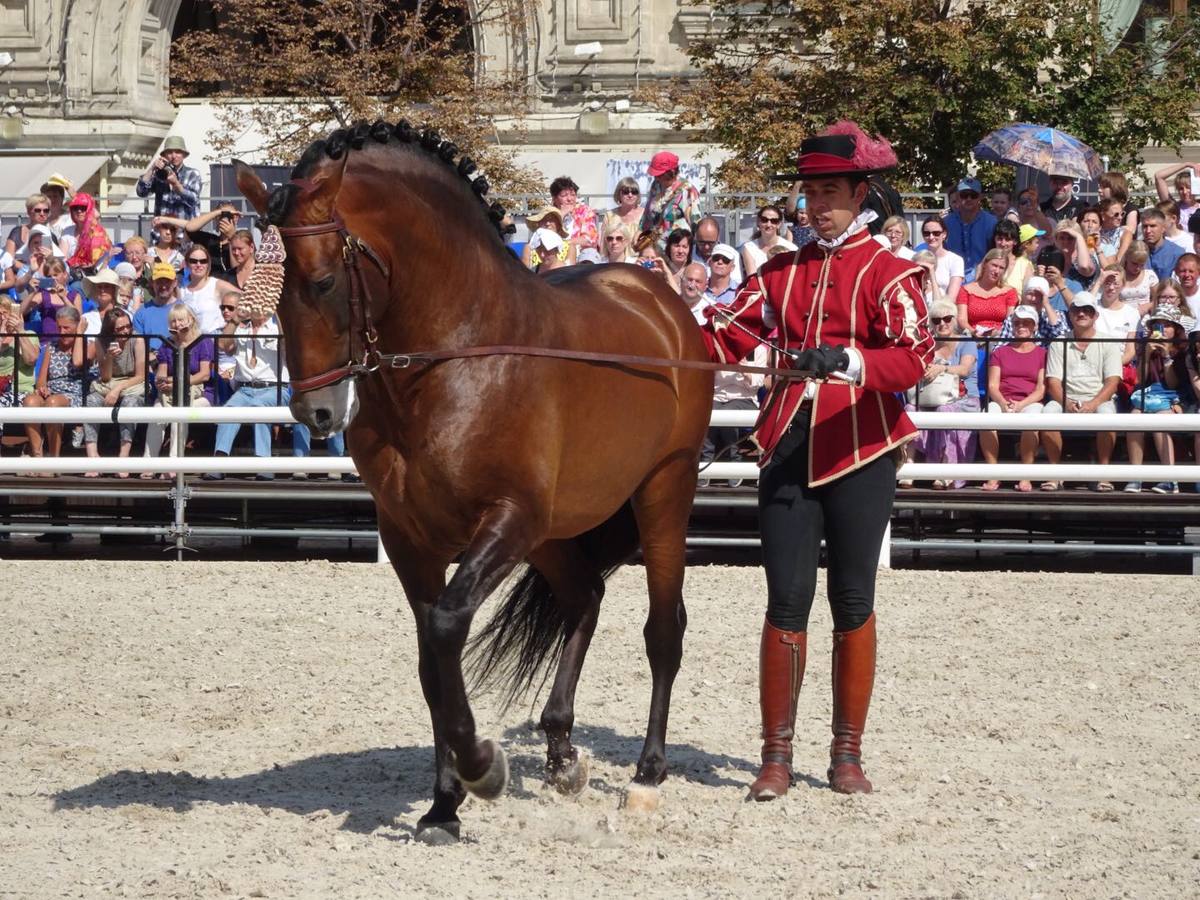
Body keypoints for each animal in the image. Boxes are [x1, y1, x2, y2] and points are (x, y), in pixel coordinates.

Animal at [238, 121, 715, 844]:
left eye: (322, 281)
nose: (315, 413)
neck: (456, 355)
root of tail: (664, 304)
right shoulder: (411, 539)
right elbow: (432, 661)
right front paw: (443, 806)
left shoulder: (507, 519)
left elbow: (445, 628)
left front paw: (481, 769)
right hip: (555, 534)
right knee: (585, 598)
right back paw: (561, 753)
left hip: (662, 491)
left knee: (664, 629)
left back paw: (646, 775)